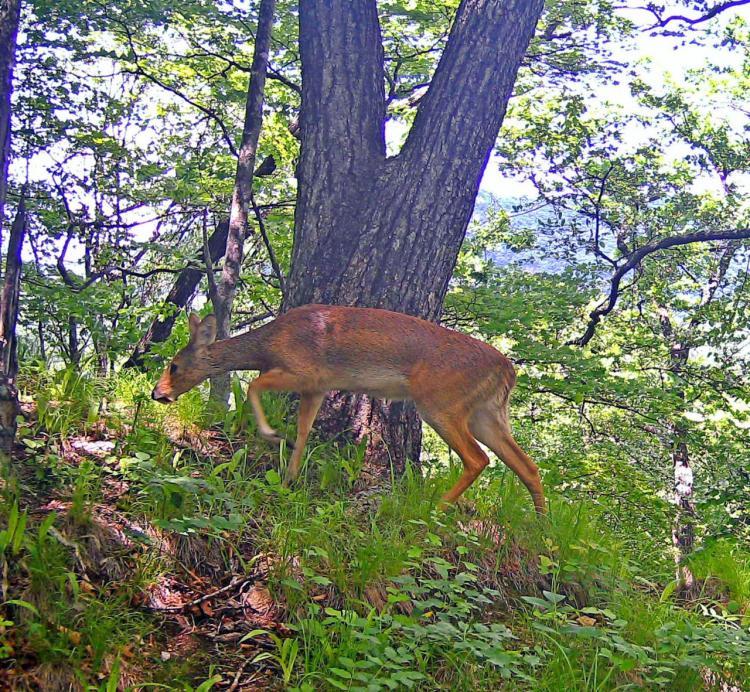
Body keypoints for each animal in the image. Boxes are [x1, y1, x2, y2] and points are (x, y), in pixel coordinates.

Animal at [150, 304, 548, 512]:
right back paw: (541, 524)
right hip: (486, 412)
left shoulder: (305, 371)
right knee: (527, 465)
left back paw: (435, 508)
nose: (157, 393)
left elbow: (253, 386)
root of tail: (508, 370)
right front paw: (290, 478)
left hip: (441, 402)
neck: (268, 344)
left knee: (478, 459)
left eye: (174, 365)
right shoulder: (317, 387)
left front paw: (270, 434)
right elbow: (304, 430)